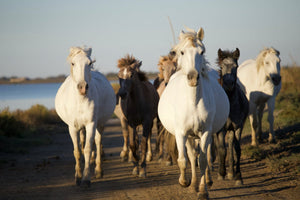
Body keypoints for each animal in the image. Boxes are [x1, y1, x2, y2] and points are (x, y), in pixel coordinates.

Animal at [54, 46, 115, 187]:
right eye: (73, 63)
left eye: (90, 63)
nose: (82, 87)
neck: (80, 100)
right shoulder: (72, 127)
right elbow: (77, 151)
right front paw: (78, 176)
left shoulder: (91, 124)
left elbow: (88, 149)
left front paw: (86, 178)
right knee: (83, 141)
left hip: (99, 124)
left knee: (97, 142)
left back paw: (99, 171)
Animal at [158, 27, 229, 199]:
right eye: (182, 52)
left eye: (202, 52)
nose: (192, 77)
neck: (193, 102)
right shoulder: (181, 133)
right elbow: (184, 160)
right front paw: (185, 183)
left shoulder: (205, 132)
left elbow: (203, 160)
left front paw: (203, 191)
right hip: (189, 136)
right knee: (191, 156)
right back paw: (193, 185)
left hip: (206, 134)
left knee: (207, 155)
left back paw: (207, 181)